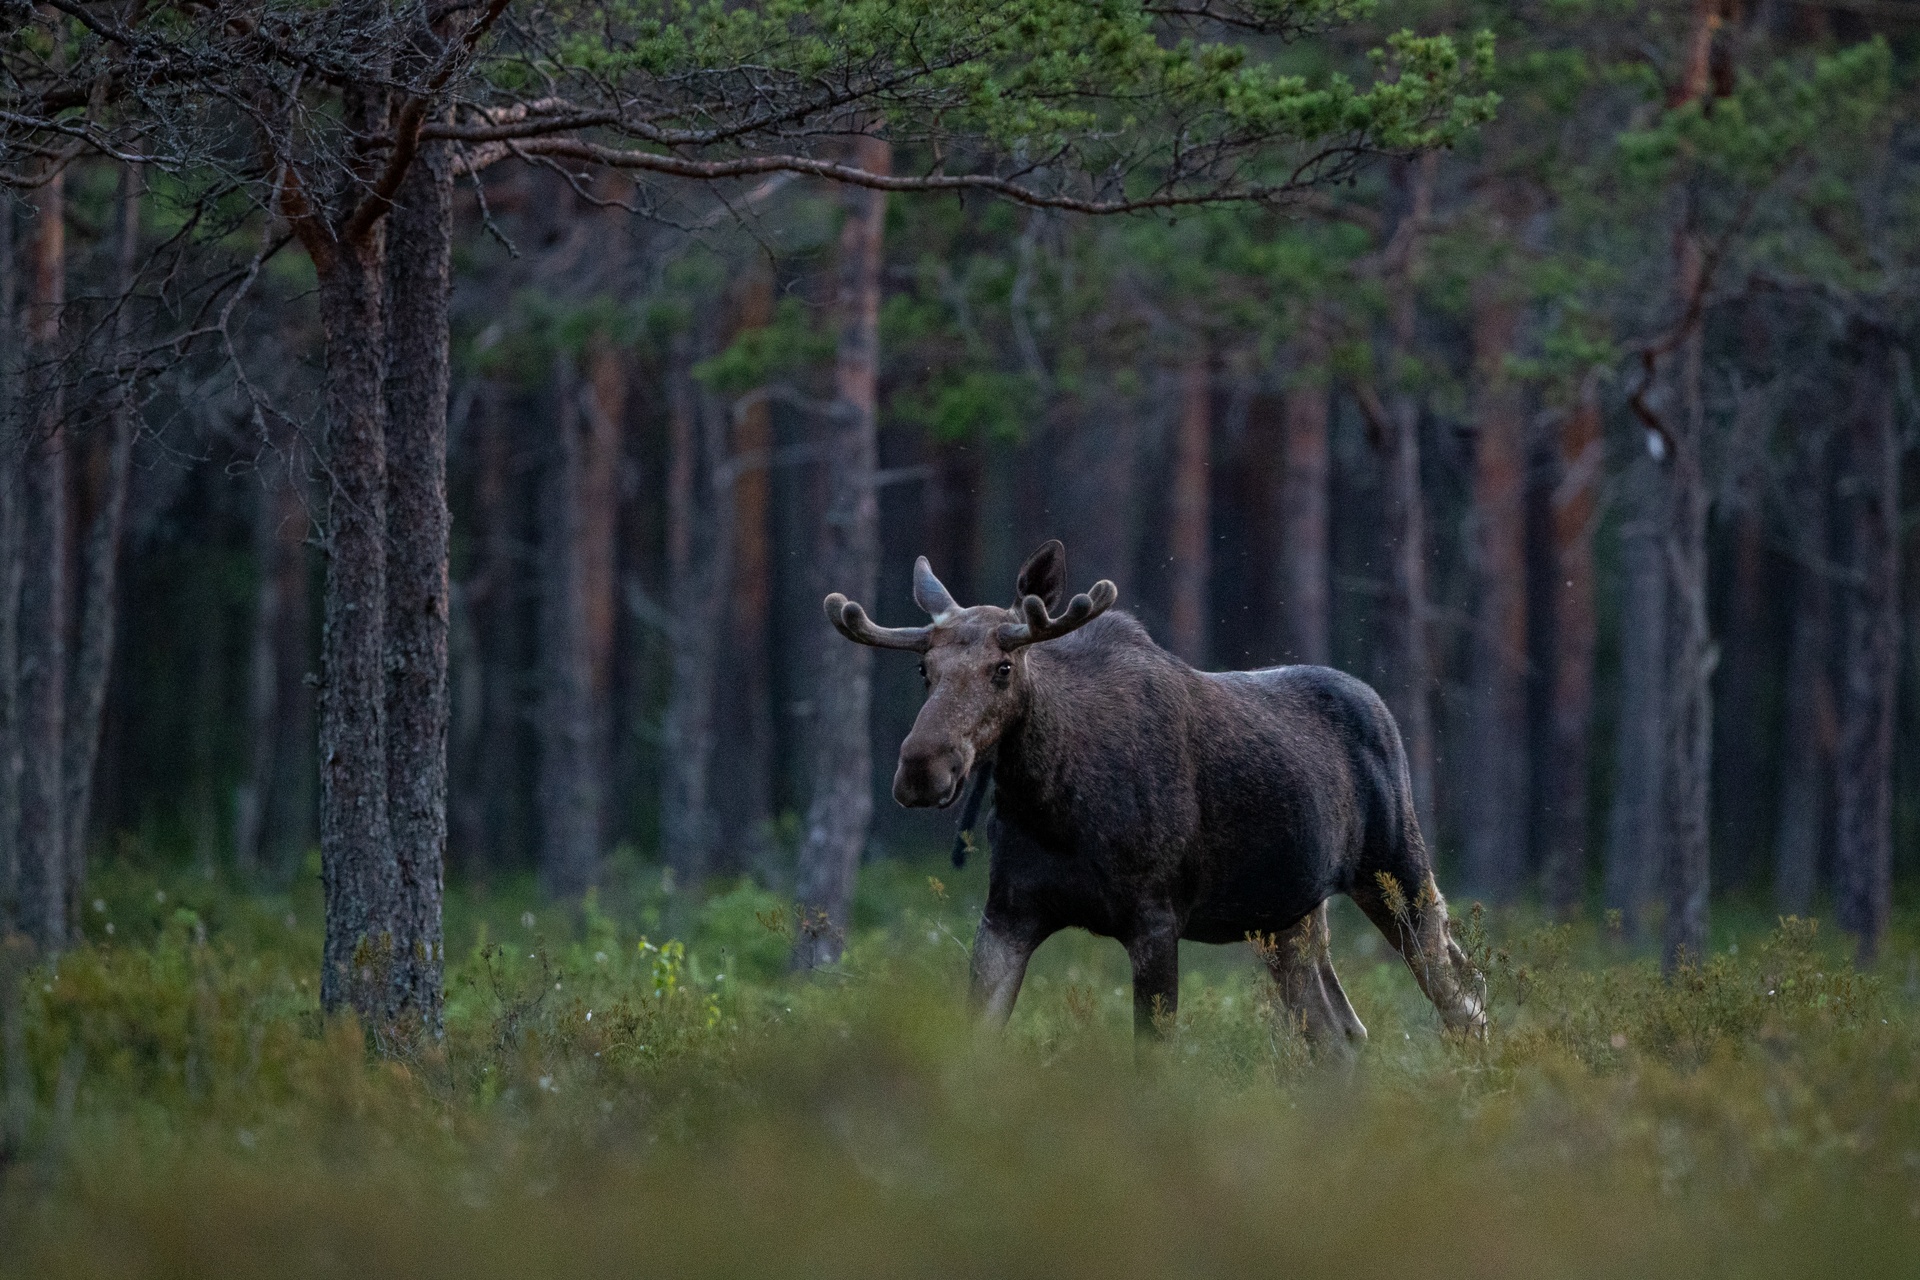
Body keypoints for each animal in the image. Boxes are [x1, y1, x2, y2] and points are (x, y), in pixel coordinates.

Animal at [825, 541, 1482, 1051]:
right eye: (924, 671)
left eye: (1003, 669)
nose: (921, 768)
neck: (1051, 805)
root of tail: (1381, 708)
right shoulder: (1008, 914)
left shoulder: (1156, 920)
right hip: (1290, 916)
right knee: (1340, 1035)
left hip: (1398, 872)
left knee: (1465, 1000)